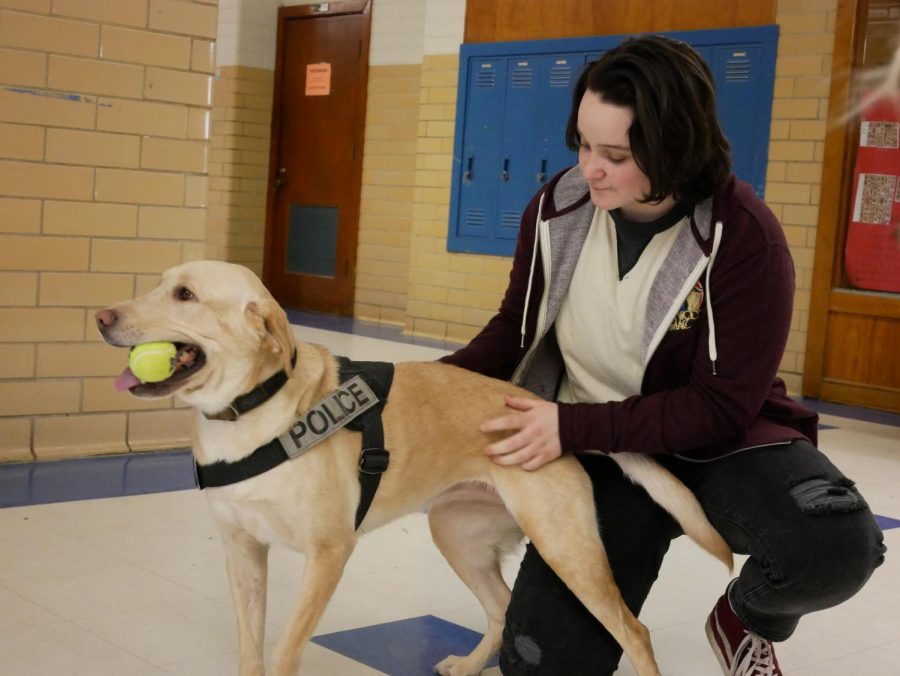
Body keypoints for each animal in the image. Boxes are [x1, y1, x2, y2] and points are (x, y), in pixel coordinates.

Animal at [96, 262, 732, 676]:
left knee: (633, 631)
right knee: (500, 612)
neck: (252, 411)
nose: (101, 316)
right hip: (456, 534)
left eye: (184, 294)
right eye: (161, 283)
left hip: (567, 548)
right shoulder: (243, 553)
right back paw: (471, 665)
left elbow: (284, 651)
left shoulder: (329, 554)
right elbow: (251, 651)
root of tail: (544, 409)